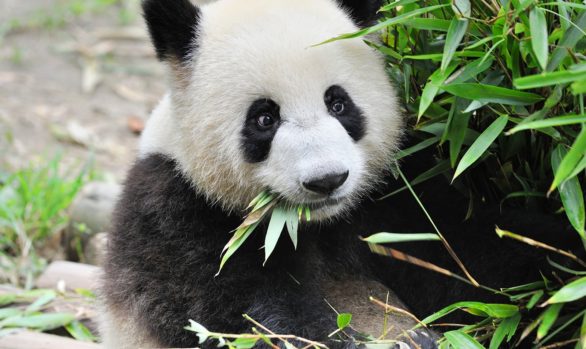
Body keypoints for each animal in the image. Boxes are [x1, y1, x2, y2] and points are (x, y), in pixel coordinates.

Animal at [99, 0, 576, 348]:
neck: (314, 224)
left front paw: (565, 276)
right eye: (263, 118)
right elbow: (252, 316)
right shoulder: (181, 217)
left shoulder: (392, 199)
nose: (327, 180)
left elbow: (476, 249)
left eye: (339, 103)